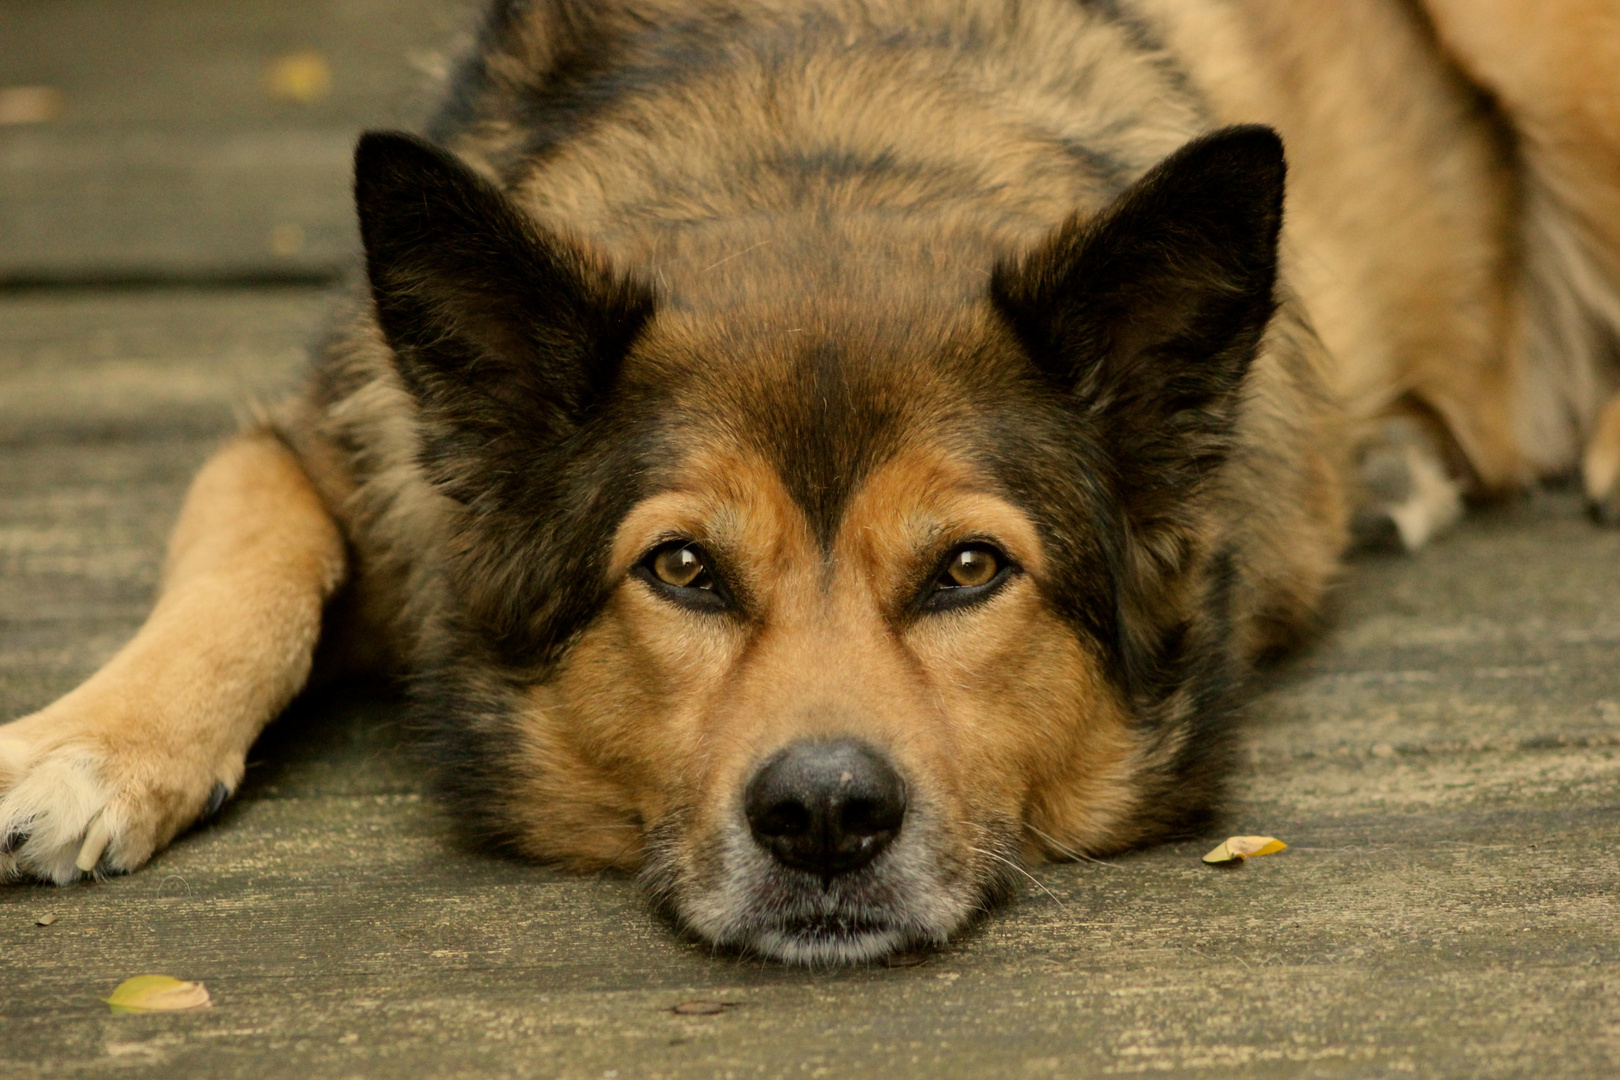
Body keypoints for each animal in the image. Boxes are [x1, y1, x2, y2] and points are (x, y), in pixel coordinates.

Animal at [3, 0, 1620, 965]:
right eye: (683, 569)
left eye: (968, 569)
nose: (826, 820)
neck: (816, 138)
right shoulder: (330, 433)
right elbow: (252, 554)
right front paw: (90, 744)